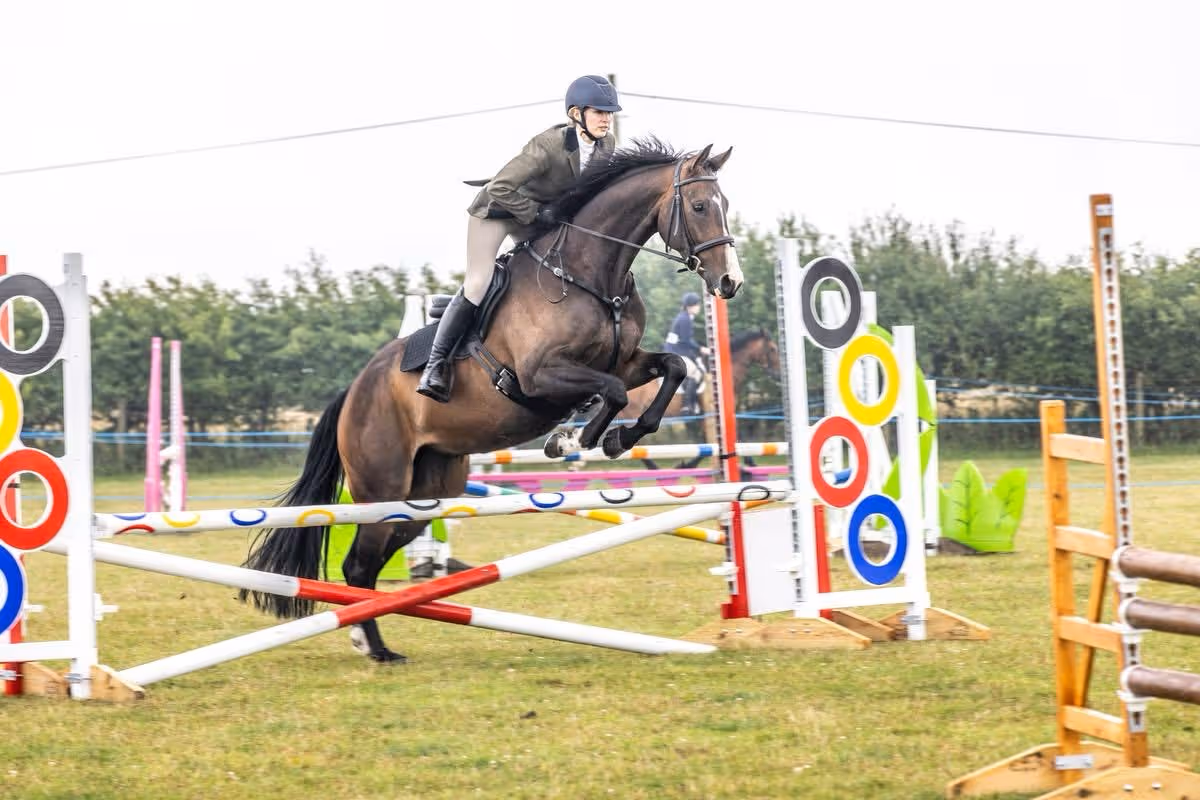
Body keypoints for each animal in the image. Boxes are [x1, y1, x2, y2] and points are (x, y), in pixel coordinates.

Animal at [240, 138, 743, 663]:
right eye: (701, 206)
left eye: (725, 205)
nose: (730, 282)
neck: (587, 274)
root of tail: (355, 391)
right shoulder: (539, 375)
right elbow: (612, 391)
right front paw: (574, 440)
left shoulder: (625, 362)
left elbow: (671, 368)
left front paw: (619, 437)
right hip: (382, 487)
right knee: (359, 563)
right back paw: (373, 646)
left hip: (427, 494)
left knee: (372, 562)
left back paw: (372, 638)